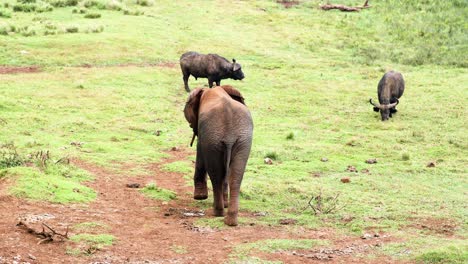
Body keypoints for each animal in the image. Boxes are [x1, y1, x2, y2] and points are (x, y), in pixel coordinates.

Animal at [183, 85, 252, 226]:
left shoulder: (204, 133)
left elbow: (200, 151)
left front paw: (199, 197)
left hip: (213, 138)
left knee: (215, 174)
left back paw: (217, 212)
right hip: (242, 139)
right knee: (235, 175)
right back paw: (230, 220)